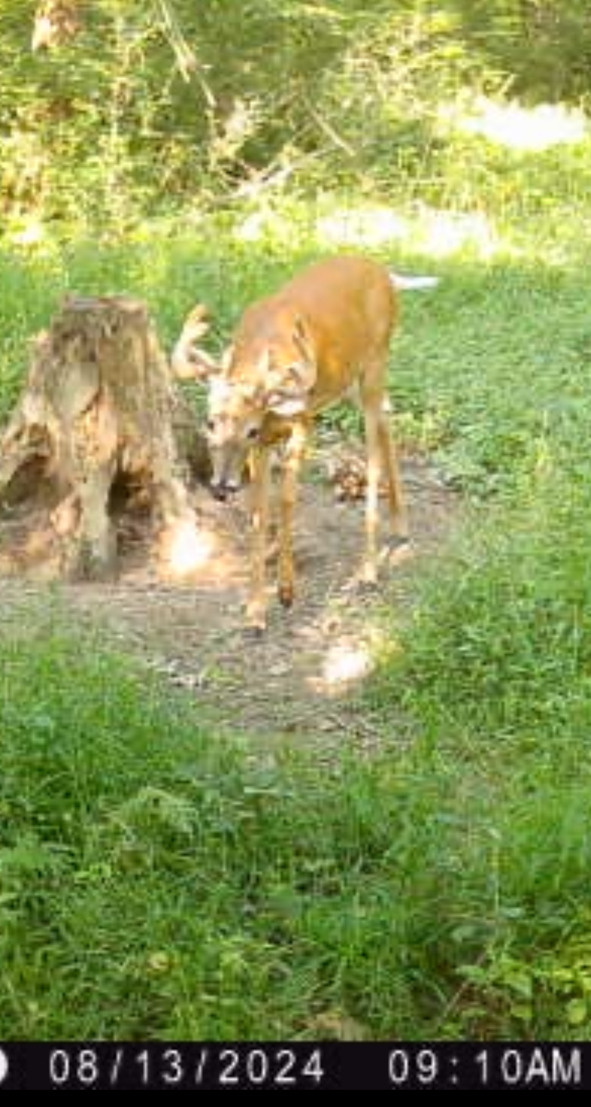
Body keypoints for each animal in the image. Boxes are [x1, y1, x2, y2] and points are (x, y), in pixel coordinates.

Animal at [171, 254, 438, 632]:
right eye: (210, 422)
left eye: (250, 429)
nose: (222, 486)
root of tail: (384, 273)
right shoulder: (266, 444)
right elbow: (259, 507)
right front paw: (255, 611)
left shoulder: (302, 422)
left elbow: (286, 498)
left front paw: (286, 591)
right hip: (351, 382)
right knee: (389, 419)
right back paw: (400, 528)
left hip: (376, 361)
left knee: (373, 453)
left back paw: (368, 570)